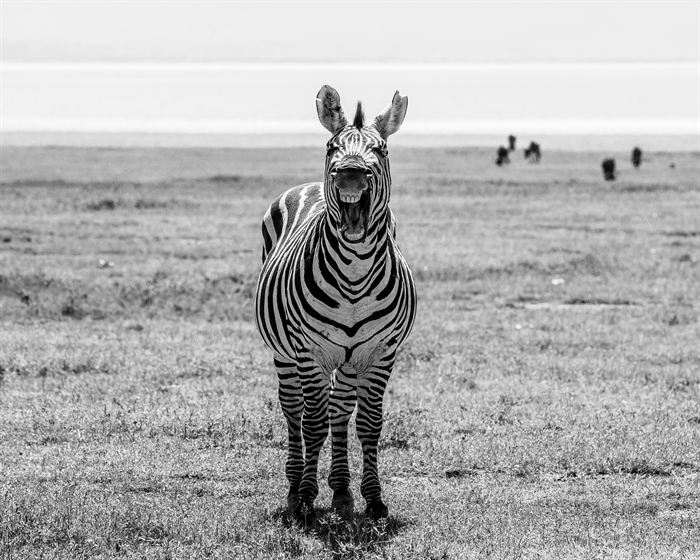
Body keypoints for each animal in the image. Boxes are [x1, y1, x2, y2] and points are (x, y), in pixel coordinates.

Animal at [255, 85, 417, 524]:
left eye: (381, 150)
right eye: (331, 146)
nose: (349, 174)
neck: (355, 274)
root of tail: (308, 185)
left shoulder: (381, 353)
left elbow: (369, 424)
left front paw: (374, 499)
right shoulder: (310, 352)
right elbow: (313, 424)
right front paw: (306, 498)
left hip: (348, 359)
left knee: (340, 410)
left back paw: (342, 491)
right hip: (286, 353)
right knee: (295, 409)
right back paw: (295, 486)